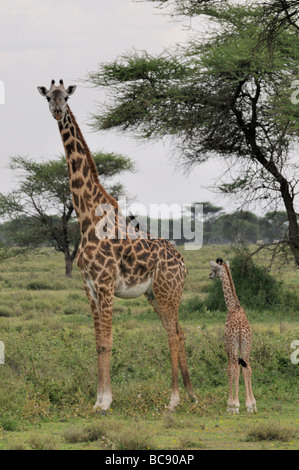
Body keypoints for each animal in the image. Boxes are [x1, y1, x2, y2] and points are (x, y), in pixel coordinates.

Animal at [37, 81, 196, 412]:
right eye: (48, 97)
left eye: (66, 96)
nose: (57, 111)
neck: (87, 216)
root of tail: (183, 263)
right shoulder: (89, 286)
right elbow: (98, 342)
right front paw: (97, 399)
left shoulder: (106, 283)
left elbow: (108, 341)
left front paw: (107, 400)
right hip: (154, 294)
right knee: (178, 332)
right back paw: (190, 394)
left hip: (167, 291)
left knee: (174, 335)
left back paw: (174, 399)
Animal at [209, 258, 258, 414]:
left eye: (214, 269)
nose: (210, 275)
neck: (233, 306)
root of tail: (241, 329)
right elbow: (244, 369)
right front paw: (249, 403)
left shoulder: (227, 345)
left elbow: (230, 370)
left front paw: (232, 404)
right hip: (247, 345)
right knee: (248, 368)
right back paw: (251, 404)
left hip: (233, 345)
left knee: (234, 369)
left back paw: (234, 405)